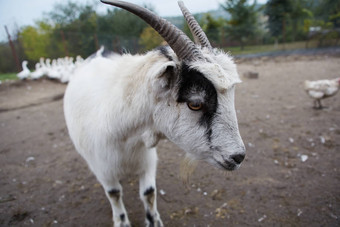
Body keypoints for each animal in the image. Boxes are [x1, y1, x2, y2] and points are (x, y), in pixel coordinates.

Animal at [63, 0, 244, 226]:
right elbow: (114, 193)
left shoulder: (147, 159)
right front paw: (121, 221)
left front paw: (154, 221)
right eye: (195, 103)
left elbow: (149, 192)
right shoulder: (102, 169)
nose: (238, 156)